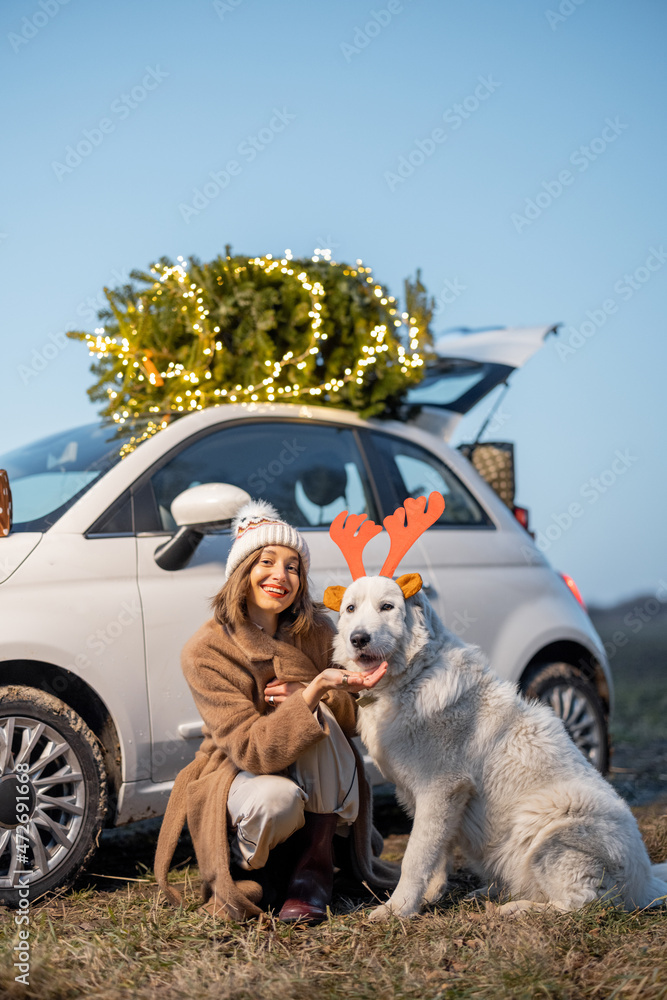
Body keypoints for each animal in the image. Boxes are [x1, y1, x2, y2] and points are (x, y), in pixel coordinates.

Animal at [332, 576, 667, 916]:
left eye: (387, 607)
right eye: (351, 608)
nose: (358, 638)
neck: (414, 676)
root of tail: (645, 883)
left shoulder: (439, 789)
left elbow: (416, 856)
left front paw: (397, 909)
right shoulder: (424, 796)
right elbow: (437, 852)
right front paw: (429, 897)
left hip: (549, 823)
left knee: (580, 902)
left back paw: (516, 909)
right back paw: (488, 893)